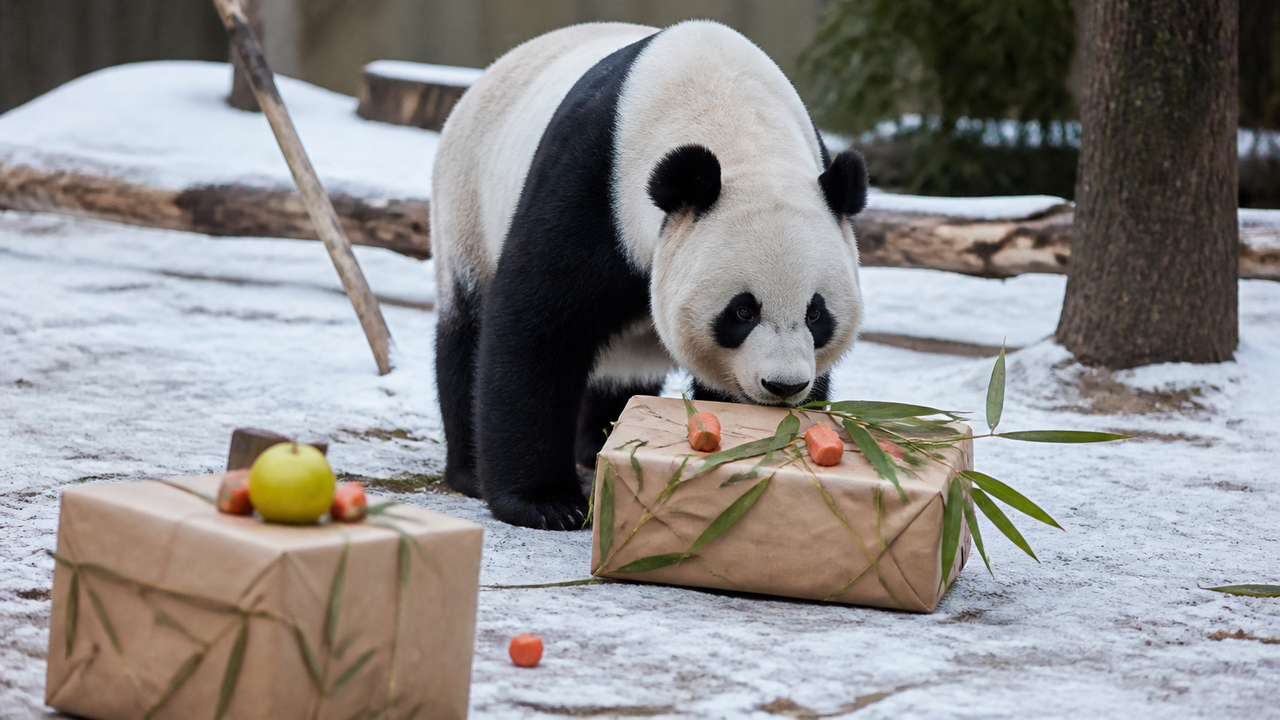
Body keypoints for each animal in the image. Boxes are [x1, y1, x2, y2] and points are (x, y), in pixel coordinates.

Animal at [431, 20, 869, 530]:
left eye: (816, 314)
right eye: (742, 311)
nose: (783, 386)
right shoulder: (594, 182)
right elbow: (536, 327)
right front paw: (545, 503)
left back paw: (598, 440)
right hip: (467, 204)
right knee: (466, 327)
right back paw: (469, 470)